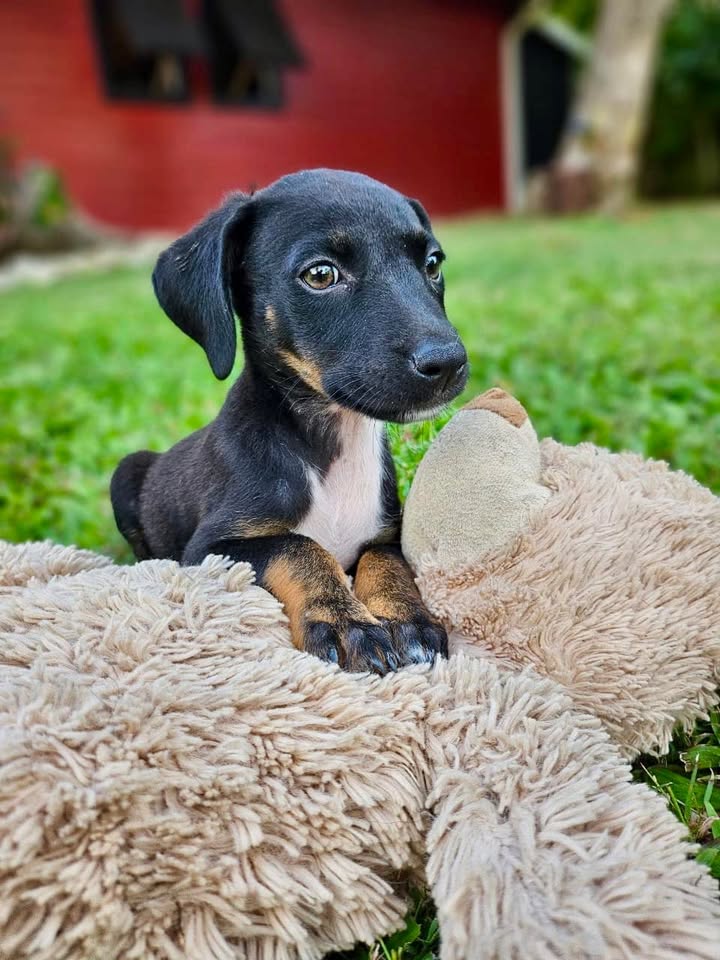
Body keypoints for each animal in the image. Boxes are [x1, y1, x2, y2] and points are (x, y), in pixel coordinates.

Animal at [109, 167, 470, 676]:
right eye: (320, 274)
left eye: (433, 264)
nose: (449, 363)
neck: (329, 440)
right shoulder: (210, 548)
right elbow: (299, 548)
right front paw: (345, 622)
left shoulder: (386, 533)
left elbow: (387, 562)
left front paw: (408, 620)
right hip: (127, 472)